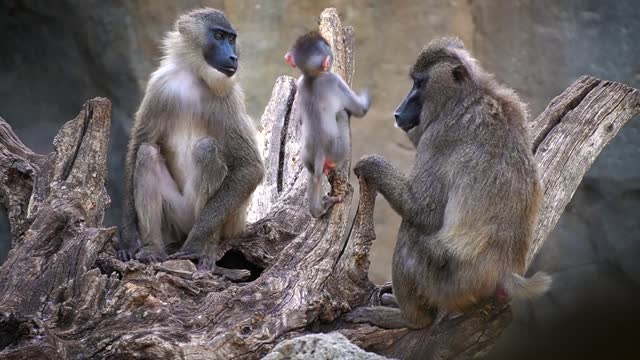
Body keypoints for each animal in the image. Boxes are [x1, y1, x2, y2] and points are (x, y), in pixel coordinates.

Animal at [284, 31, 370, 217]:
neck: (312, 77)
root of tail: (319, 152)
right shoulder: (334, 80)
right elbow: (359, 110)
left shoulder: (300, 83)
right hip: (339, 148)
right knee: (342, 115)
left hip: (307, 157)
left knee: (312, 175)